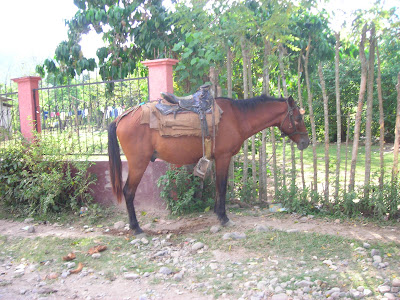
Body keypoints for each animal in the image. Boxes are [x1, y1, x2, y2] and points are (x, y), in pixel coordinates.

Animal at [108, 95, 310, 236]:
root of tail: (121, 118)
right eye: (298, 118)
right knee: (128, 192)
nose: (306, 142)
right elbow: (222, 186)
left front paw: (217, 213)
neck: (237, 118)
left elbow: (217, 187)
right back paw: (136, 228)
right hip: (138, 164)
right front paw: (223, 217)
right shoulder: (224, 157)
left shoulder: (216, 159)